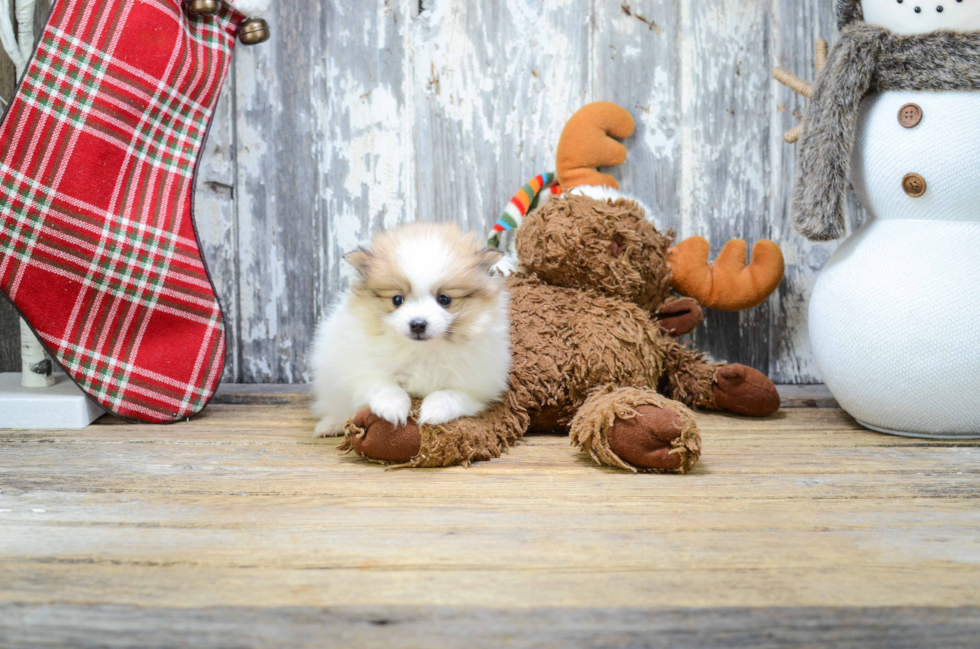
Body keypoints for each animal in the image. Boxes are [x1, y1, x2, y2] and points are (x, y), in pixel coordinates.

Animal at [312, 220, 512, 438]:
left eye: (444, 299)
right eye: (397, 299)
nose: (417, 324)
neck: (422, 351)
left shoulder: (476, 385)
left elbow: (451, 394)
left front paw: (435, 410)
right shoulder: (361, 367)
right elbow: (382, 385)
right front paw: (392, 407)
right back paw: (332, 425)